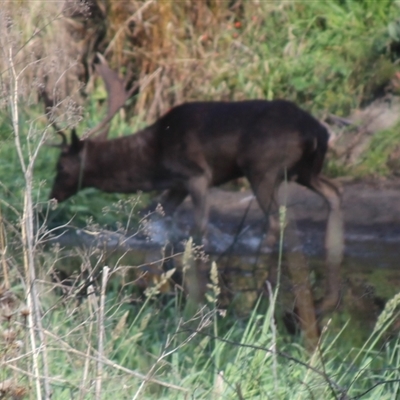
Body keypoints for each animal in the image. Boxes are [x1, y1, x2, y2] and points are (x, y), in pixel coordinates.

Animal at [47, 54, 344, 314]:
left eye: (61, 167)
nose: (52, 196)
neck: (155, 158)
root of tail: (316, 131)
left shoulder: (196, 174)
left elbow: (199, 227)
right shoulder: (178, 182)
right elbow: (153, 216)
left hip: (263, 168)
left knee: (277, 218)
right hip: (305, 171)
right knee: (334, 193)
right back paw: (331, 261)